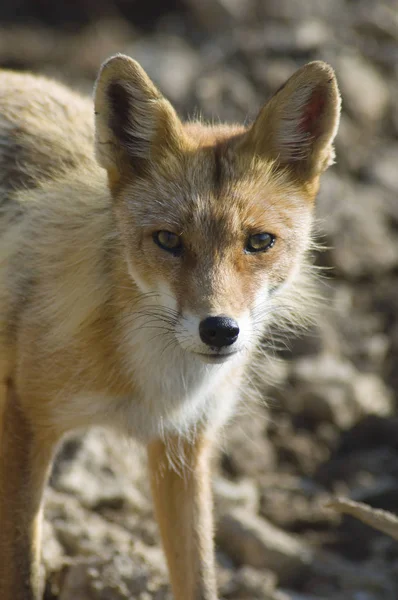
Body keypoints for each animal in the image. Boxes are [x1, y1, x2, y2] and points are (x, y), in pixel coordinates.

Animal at [0, 52, 340, 600]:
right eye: (167, 240)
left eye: (260, 241)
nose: (219, 329)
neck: (154, 385)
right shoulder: (26, 418)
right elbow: (21, 573)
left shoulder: (184, 446)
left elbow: (198, 576)